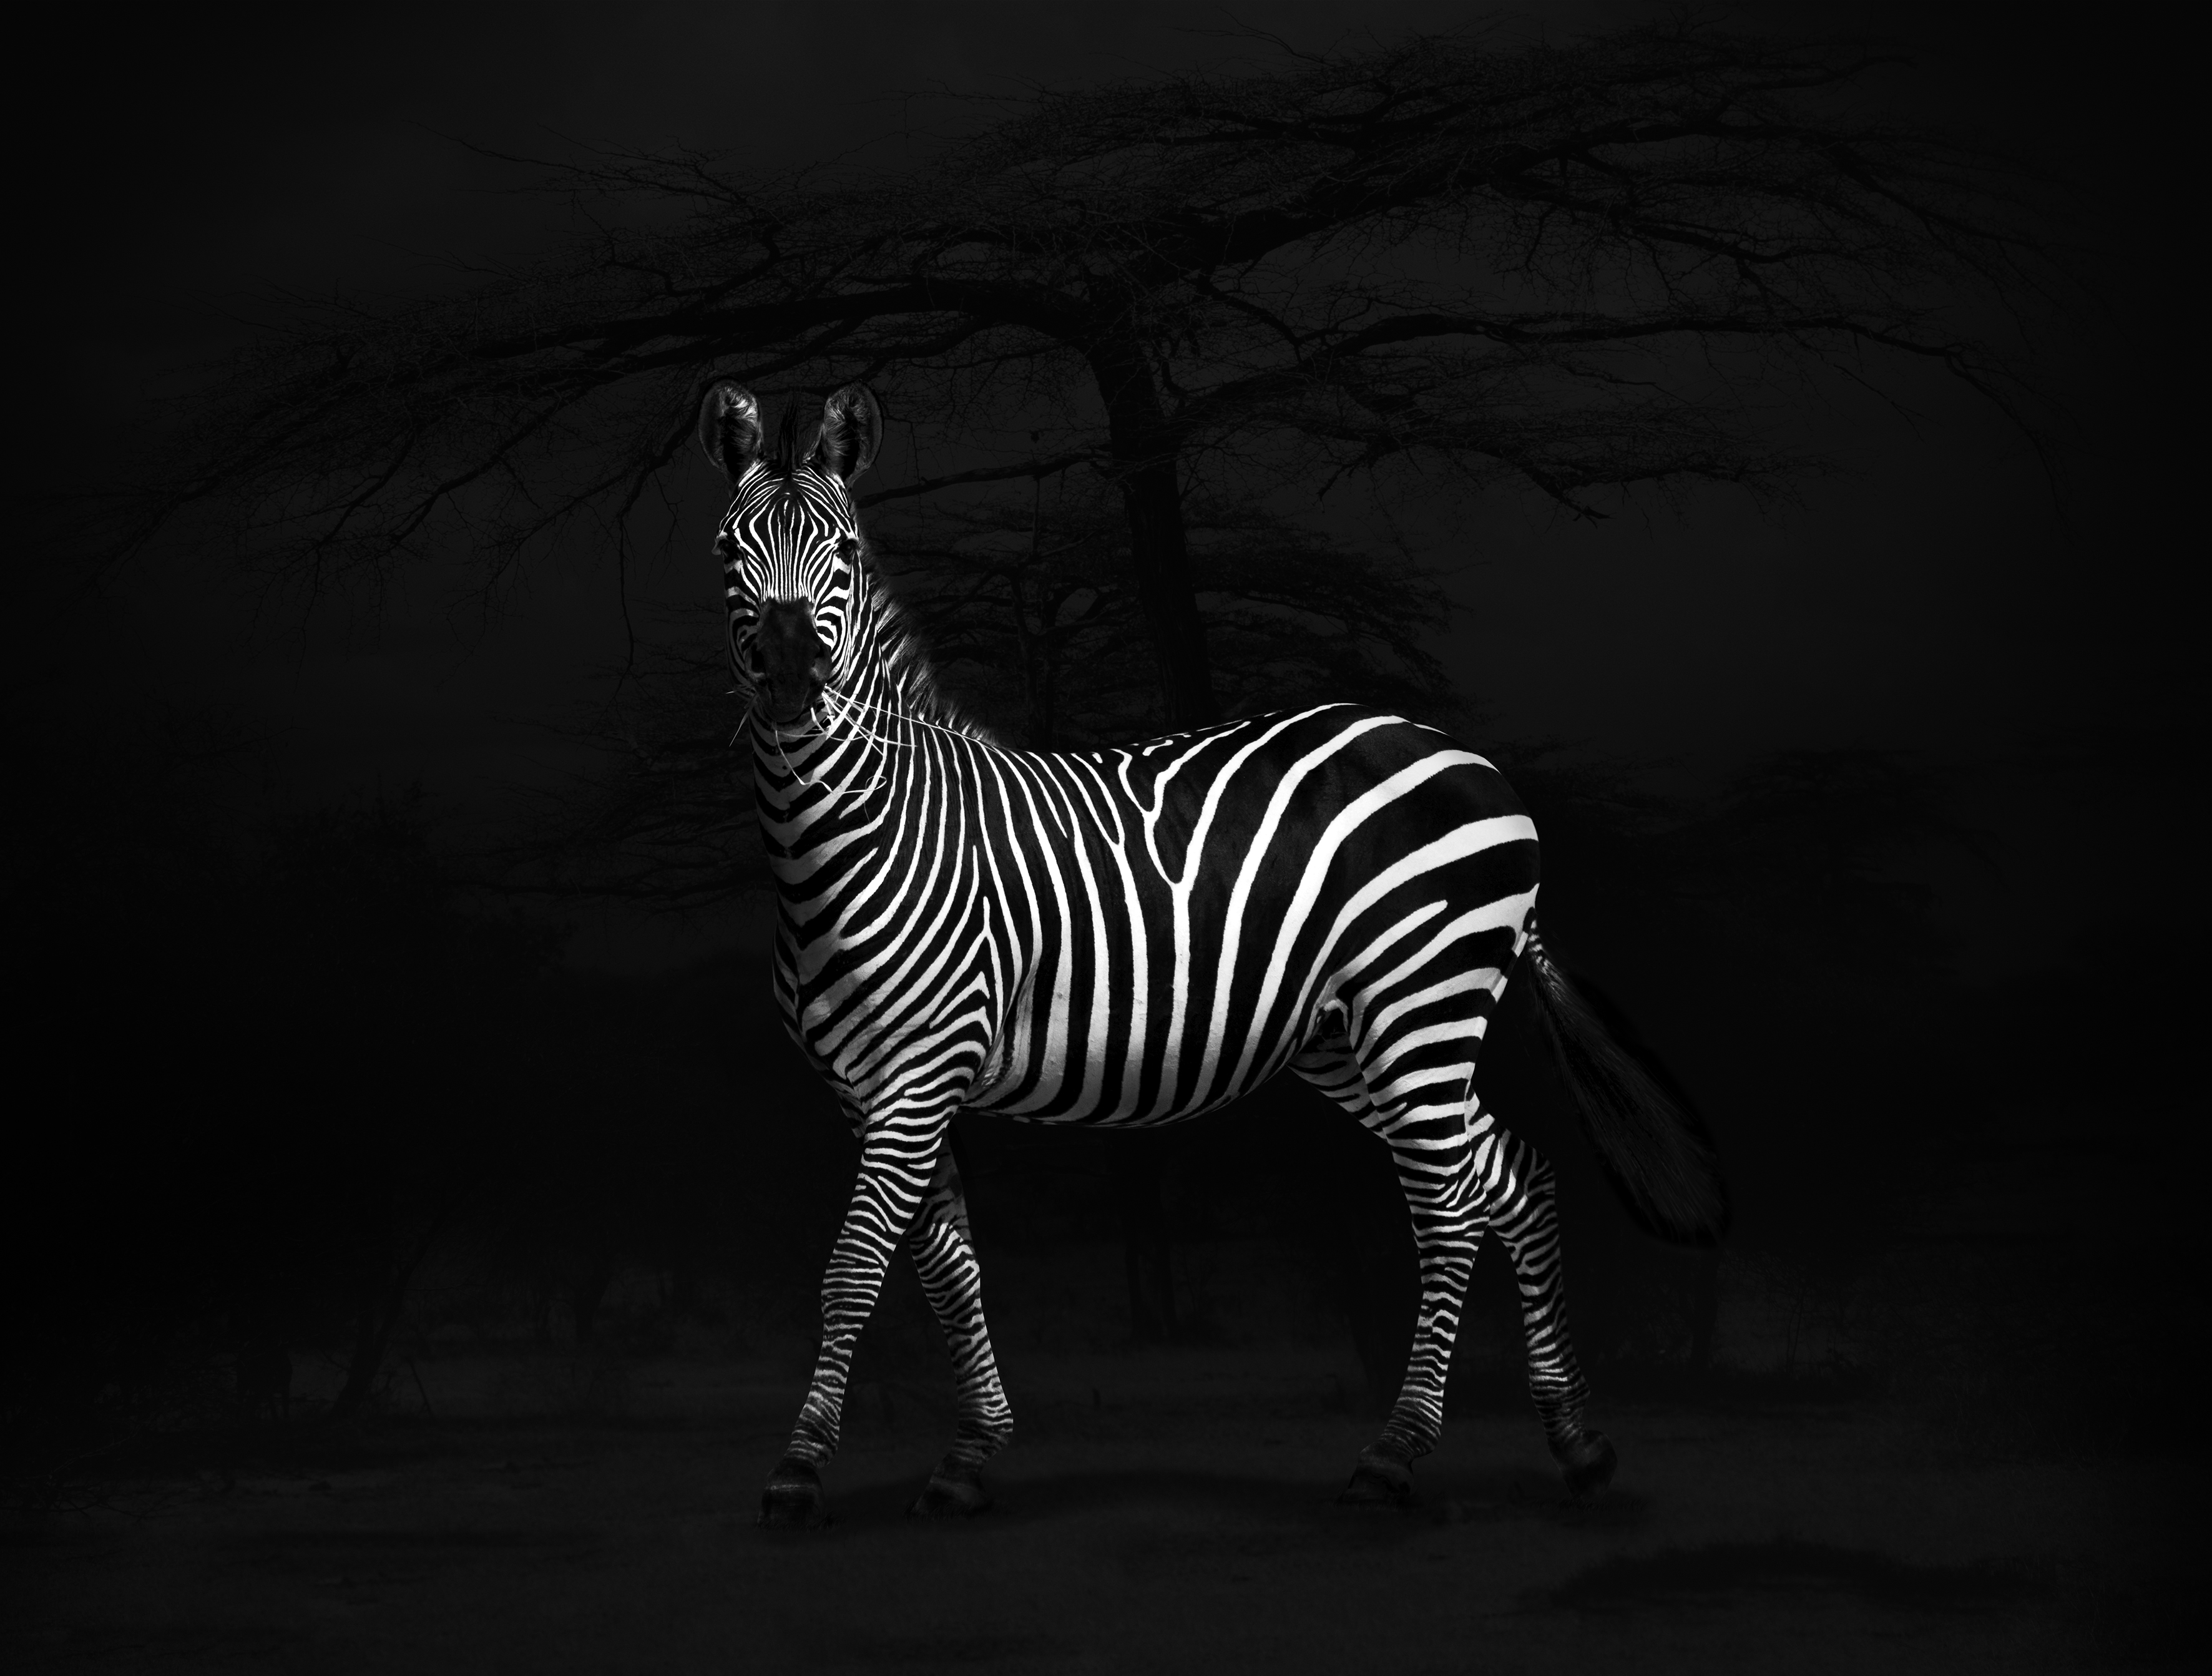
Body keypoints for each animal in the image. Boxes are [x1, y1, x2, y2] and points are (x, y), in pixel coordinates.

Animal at [699, 380, 1729, 1528]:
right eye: (731, 549)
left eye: (840, 552)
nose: (792, 684)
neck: (844, 843)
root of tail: (1470, 758)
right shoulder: (866, 1087)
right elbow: (945, 1264)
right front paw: (969, 1455)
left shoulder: (919, 1072)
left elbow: (854, 1267)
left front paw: (798, 1470)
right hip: (1356, 1038)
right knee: (1514, 1178)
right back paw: (1577, 1444)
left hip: (1420, 1000)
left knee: (1450, 1210)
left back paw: (1394, 1455)